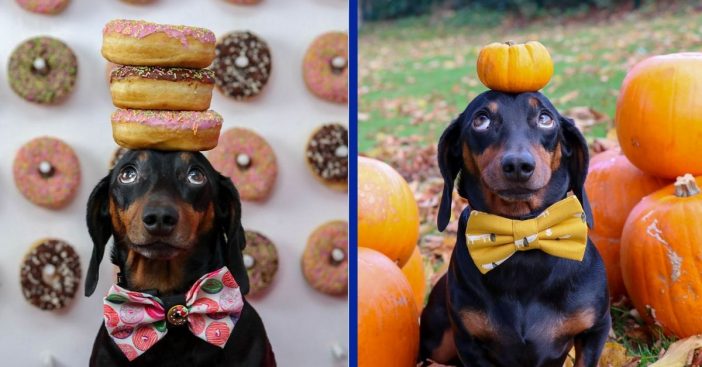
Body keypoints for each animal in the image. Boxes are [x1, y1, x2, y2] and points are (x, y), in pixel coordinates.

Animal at [420, 90, 612, 366]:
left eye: (545, 118)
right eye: (481, 120)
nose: (518, 165)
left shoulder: (595, 330)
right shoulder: (468, 344)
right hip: (437, 344)